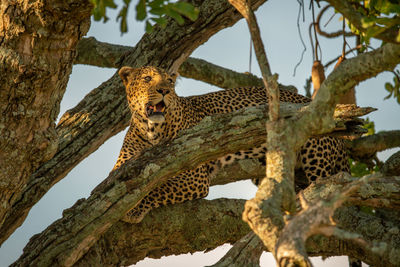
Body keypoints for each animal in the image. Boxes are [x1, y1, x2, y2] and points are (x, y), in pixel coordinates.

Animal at [114, 65, 348, 224]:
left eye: (170, 82)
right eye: (147, 79)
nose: (165, 91)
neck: (152, 130)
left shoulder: (194, 176)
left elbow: (158, 188)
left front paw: (133, 210)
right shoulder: (121, 169)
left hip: (315, 153)